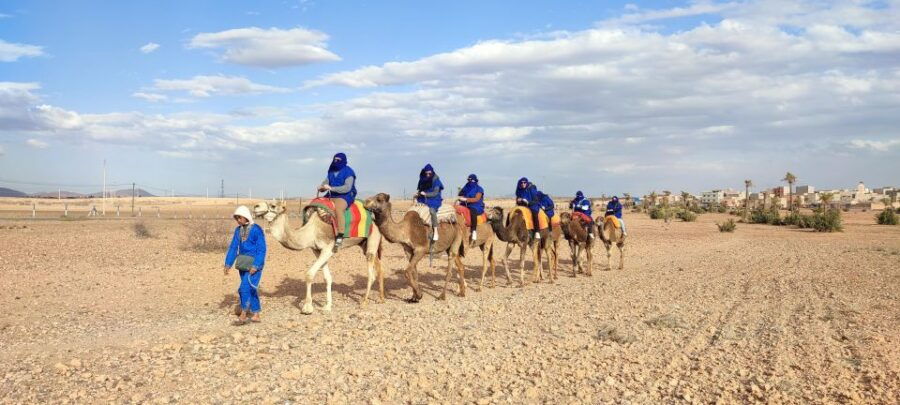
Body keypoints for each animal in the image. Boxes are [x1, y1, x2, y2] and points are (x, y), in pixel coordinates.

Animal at [252, 200, 384, 314]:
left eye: (273, 205)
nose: (256, 206)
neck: (311, 231)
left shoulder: (328, 248)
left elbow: (309, 274)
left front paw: (307, 307)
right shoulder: (317, 250)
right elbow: (327, 278)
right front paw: (327, 306)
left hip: (373, 237)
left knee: (371, 273)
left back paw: (364, 302)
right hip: (363, 244)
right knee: (379, 266)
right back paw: (381, 298)